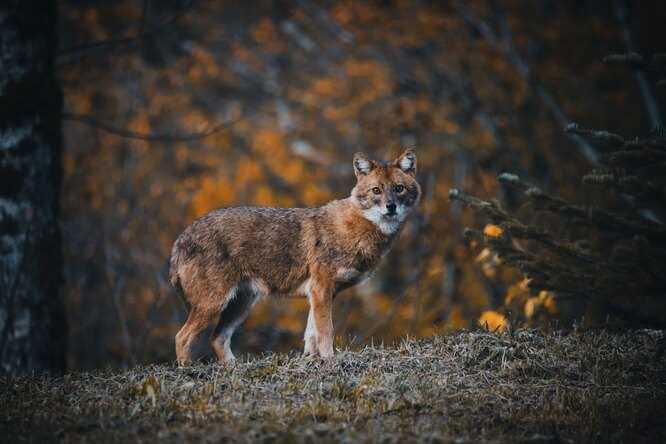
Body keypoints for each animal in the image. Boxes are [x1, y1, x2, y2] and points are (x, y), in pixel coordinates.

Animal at [171, 149, 420, 364]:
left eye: (398, 188)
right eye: (376, 190)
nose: (390, 207)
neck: (354, 230)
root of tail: (180, 239)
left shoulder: (319, 293)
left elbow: (311, 335)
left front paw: (312, 360)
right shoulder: (321, 289)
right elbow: (326, 331)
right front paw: (330, 360)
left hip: (241, 306)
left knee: (217, 338)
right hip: (214, 304)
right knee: (182, 337)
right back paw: (188, 369)